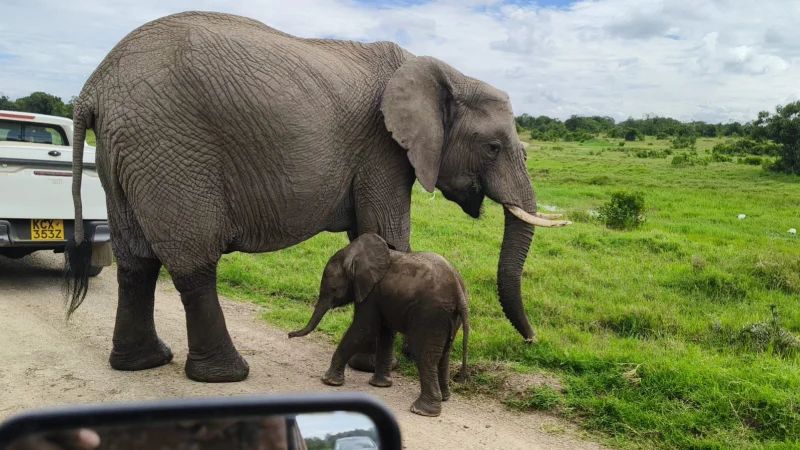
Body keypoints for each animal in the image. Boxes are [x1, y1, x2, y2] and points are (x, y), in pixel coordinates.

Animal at [63, 11, 571, 383]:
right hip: (173, 149)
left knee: (135, 261)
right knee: (193, 262)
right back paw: (226, 375)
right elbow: (389, 233)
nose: (533, 341)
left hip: (124, 154)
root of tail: (93, 88)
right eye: (493, 147)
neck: (446, 71)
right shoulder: (382, 148)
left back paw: (142, 363)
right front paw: (385, 362)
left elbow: (368, 235)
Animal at [288, 234, 470, 417]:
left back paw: (421, 410)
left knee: (424, 355)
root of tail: (459, 293)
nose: (289, 334)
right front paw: (380, 385)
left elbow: (364, 328)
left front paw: (328, 381)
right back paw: (444, 398)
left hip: (431, 315)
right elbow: (385, 333)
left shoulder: (372, 294)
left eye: (333, 289)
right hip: (448, 317)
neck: (355, 255)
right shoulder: (384, 298)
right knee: (445, 353)